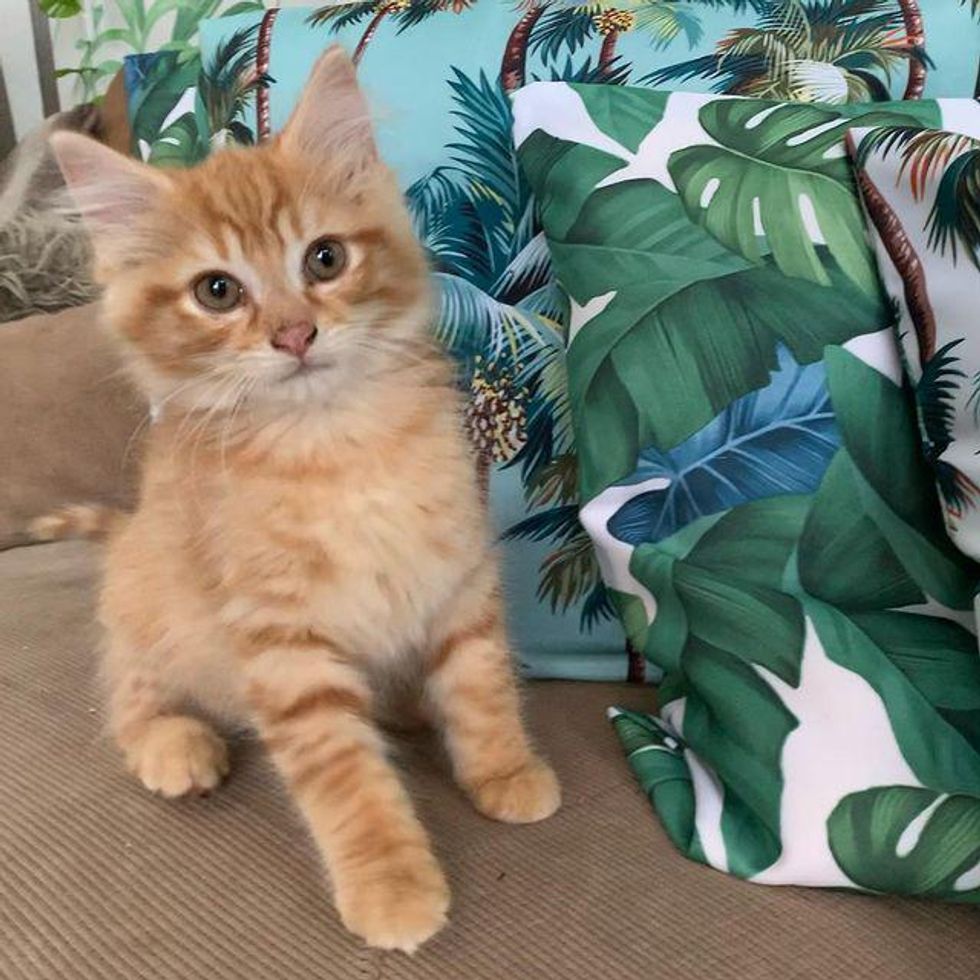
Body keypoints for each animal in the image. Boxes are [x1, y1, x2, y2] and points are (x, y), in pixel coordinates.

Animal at [47, 49, 560, 952]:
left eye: (324, 259)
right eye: (217, 291)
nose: (293, 334)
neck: (336, 443)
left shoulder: (459, 577)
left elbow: (481, 685)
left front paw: (503, 768)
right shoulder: (285, 643)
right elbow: (348, 781)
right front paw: (391, 885)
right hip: (148, 599)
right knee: (128, 688)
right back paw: (172, 745)